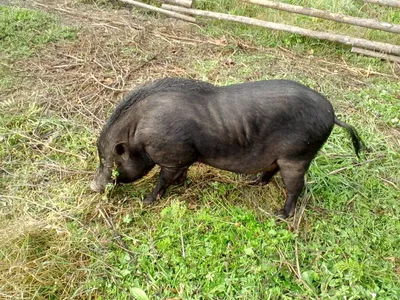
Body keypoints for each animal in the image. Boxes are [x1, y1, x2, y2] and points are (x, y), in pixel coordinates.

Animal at [91, 77, 362, 218]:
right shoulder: (183, 158)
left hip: (296, 156)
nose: (93, 186)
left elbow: (162, 180)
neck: (137, 134)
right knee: (271, 171)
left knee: (297, 188)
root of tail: (332, 114)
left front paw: (147, 202)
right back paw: (253, 182)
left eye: (109, 161)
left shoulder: (172, 156)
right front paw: (180, 184)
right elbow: (179, 173)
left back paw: (280, 215)